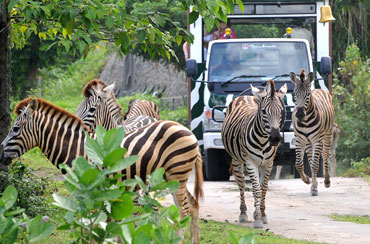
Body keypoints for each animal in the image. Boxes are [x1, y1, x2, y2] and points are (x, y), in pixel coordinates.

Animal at [0, 97, 202, 244]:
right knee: (193, 205)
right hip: (174, 177)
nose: (0, 153)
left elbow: (94, 225)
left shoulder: (93, 190)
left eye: (15, 129)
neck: (78, 150)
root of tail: (188, 130)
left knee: (183, 211)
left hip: (176, 174)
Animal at [221, 80, 288, 229]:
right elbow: (256, 189)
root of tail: (246, 96)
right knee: (241, 183)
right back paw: (243, 213)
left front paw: (262, 214)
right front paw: (257, 219)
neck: (263, 139)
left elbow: (263, 189)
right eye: (263, 111)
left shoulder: (268, 163)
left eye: (281, 111)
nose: (275, 138)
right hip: (237, 159)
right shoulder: (251, 161)